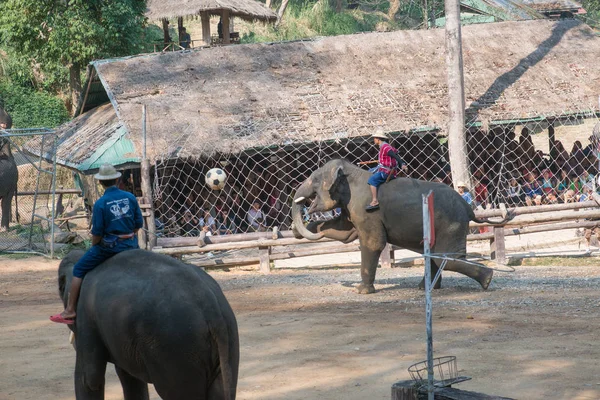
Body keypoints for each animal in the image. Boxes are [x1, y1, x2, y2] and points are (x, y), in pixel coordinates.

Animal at [56, 248, 239, 398]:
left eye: (60, 286)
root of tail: (210, 306)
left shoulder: (85, 316)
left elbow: (90, 378)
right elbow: (131, 379)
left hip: (175, 347)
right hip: (227, 339)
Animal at [292, 159, 508, 294]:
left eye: (314, 180)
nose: (298, 225)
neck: (350, 172)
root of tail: (468, 208)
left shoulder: (366, 210)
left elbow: (372, 243)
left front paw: (362, 291)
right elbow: (345, 232)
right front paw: (301, 230)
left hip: (450, 223)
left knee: (446, 258)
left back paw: (487, 279)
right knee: (437, 256)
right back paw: (425, 288)